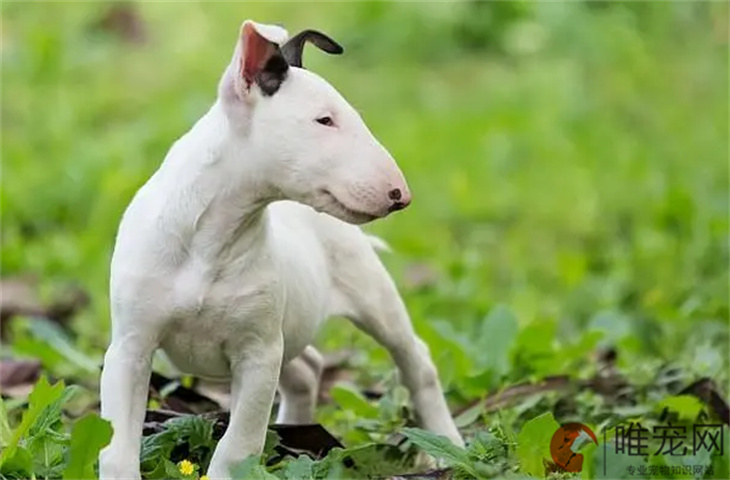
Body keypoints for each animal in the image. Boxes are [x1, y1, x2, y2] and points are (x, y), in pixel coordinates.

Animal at [98, 20, 460, 478]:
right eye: (324, 119)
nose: (401, 195)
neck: (211, 238)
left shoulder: (259, 354)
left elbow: (237, 445)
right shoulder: (131, 347)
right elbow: (117, 445)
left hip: (372, 296)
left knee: (416, 362)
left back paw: (447, 445)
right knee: (308, 368)